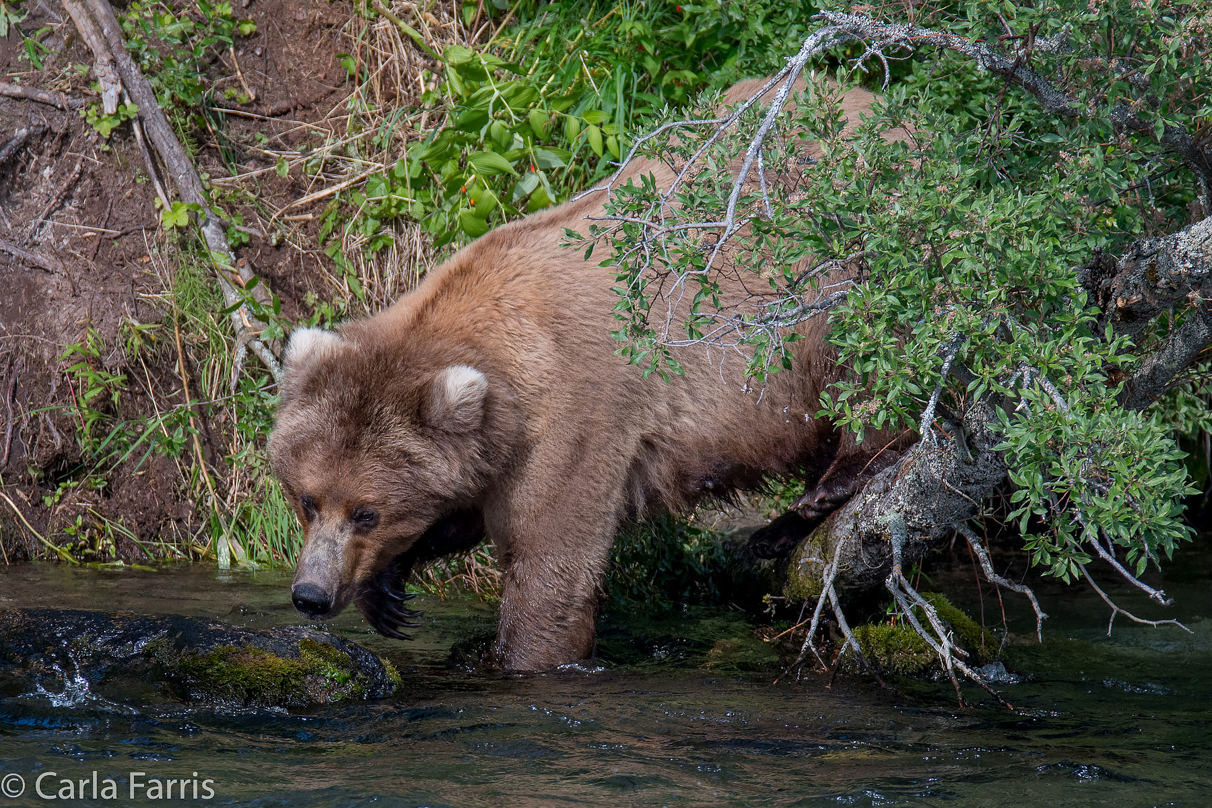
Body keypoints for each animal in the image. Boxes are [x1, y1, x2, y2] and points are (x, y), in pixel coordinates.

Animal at [267, 77, 911, 668]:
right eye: (307, 499)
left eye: (366, 511)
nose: (311, 596)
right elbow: (463, 508)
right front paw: (388, 592)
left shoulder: (578, 411)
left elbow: (551, 559)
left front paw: (522, 654)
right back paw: (778, 529)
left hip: (843, 270)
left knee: (870, 365)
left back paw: (829, 487)